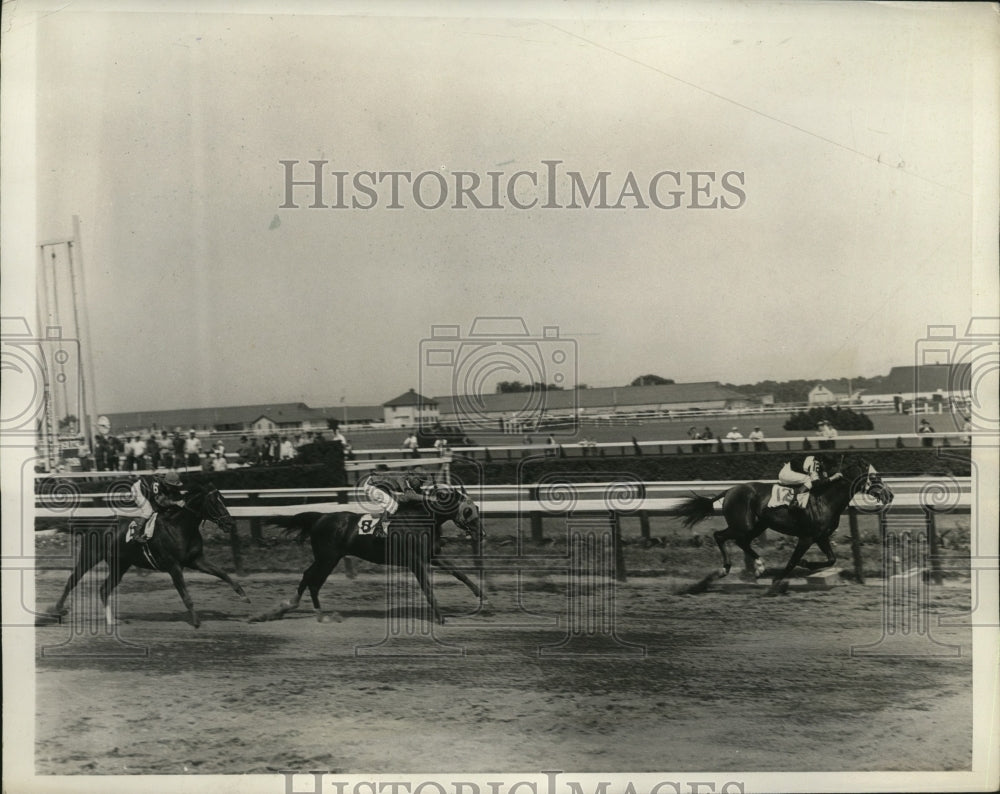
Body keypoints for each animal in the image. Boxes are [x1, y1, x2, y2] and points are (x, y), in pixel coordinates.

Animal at [44, 480, 250, 628]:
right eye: (214, 502)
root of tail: (93, 525)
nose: (230, 523)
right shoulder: (174, 566)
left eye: (223, 499)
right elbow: (186, 596)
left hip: (120, 565)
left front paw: (244, 597)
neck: (181, 526)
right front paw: (196, 621)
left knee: (104, 589)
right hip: (90, 556)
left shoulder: (196, 560)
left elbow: (223, 573)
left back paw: (112, 620)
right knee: (72, 580)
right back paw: (58, 610)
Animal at [252, 482, 490, 624]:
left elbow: (460, 574)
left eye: (477, 508)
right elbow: (428, 589)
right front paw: (440, 618)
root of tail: (320, 517)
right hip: (328, 557)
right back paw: (318, 614)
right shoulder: (415, 561)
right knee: (312, 579)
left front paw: (484, 597)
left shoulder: (432, 555)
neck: (422, 519)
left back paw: (291, 607)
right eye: (468, 511)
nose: (482, 533)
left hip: (327, 557)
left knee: (307, 576)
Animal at [672, 452, 892, 592]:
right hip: (744, 525)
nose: (889, 495)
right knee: (720, 536)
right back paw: (726, 568)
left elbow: (831, 559)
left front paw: (807, 564)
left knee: (741, 541)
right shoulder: (806, 537)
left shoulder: (821, 537)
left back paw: (759, 567)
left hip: (758, 525)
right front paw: (779, 580)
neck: (825, 499)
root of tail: (730, 490)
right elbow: (792, 561)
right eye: (874, 476)